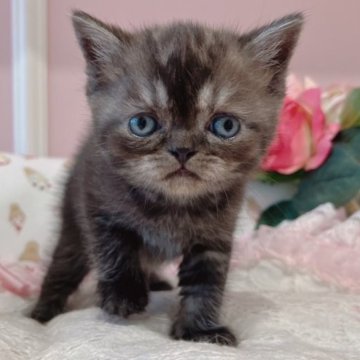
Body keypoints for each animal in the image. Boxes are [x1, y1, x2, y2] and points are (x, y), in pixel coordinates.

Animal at [31, 10, 302, 346]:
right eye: (142, 123)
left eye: (225, 125)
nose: (182, 150)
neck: (172, 204)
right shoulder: (96, 200)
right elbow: (114, 246)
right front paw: (123, 294)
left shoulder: (214, 235)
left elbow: (205, 283)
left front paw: (199, 329)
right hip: (72, 222)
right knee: (63, 266)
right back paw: (42, 312)